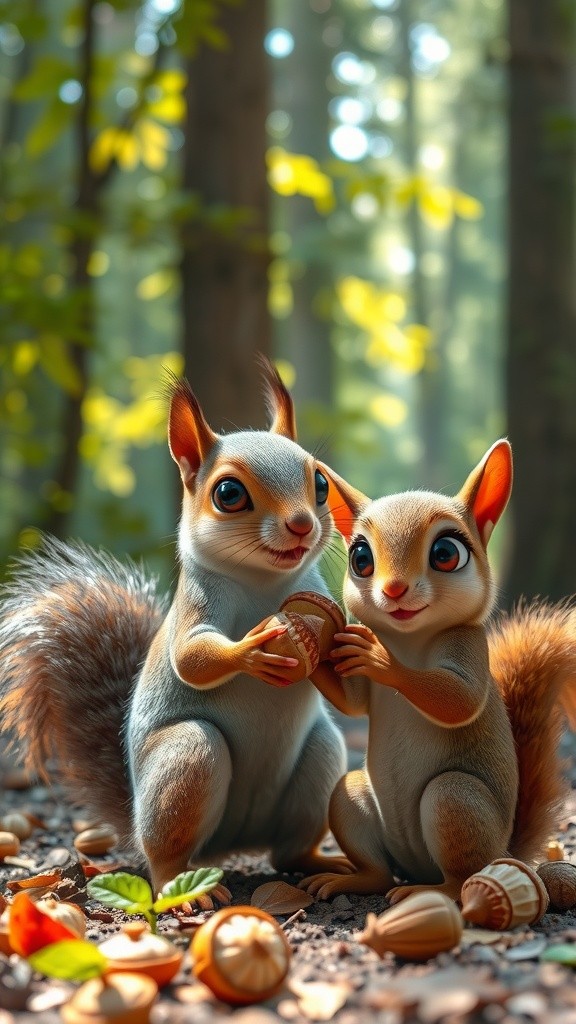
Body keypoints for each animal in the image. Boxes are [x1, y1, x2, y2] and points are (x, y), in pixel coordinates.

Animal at [0, 357, 350, 896]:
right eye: (228, 493)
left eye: (321, 484)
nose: (302, 525)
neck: (264, 582)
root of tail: (231, 845)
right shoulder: (196, 605)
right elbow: (190, 658)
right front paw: (252, 649)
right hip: (188, 759)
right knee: (167, 855)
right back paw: (179, 887)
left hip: (323, 758)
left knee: (290, 849)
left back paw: (324, 866)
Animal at [300, 439, 576, 903]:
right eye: (360, 557)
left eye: (446, 554)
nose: (394, 590)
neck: (409, 639)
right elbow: (353, 704)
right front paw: (308, 645)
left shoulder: (469, 646)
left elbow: (457, 700)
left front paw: (380, 657)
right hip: (350, 797)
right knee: (378, 870)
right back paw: (350, 880)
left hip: (454, 801)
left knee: (461, 874)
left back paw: (433, 892)